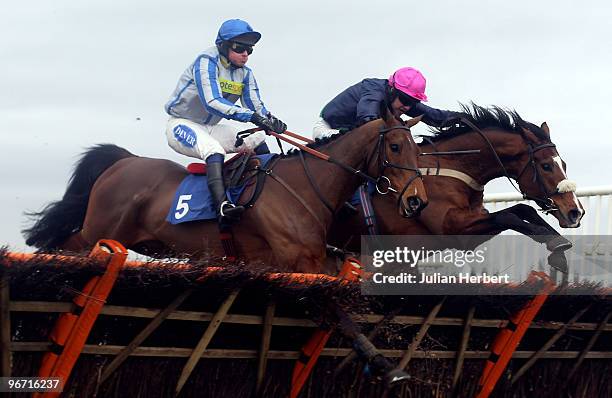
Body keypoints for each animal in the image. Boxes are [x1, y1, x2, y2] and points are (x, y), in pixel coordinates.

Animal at [23, 112, 426, 274]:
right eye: (394, 147)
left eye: (416, 148)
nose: (416, 200)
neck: (305, 186)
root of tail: (124, 161)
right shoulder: (299, 261)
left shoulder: (316, 259)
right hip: (99, 231)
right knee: (65, 246)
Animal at [330, 104, 584, 274]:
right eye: (546, 165)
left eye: (564, 164)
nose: (575, 212)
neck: (453, 169)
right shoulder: (453, 228)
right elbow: (510, 216)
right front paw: (555, 244)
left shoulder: (472, 228)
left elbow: (521, 210)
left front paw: (558, 246)